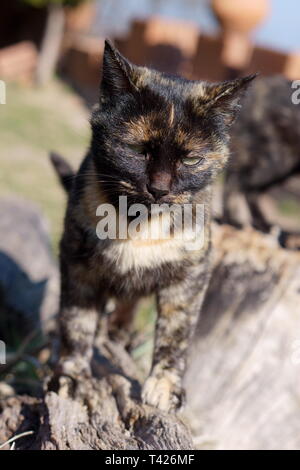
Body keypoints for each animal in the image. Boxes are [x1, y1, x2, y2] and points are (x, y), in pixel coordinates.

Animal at [51, 40, 255, 412]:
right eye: (136, 149)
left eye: (191, 158)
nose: (159, 188)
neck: (138, 225)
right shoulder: (76, 262)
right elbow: (76, 323)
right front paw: (70, 376)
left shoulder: (191, 274)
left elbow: (177, 333)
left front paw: (164, 386)